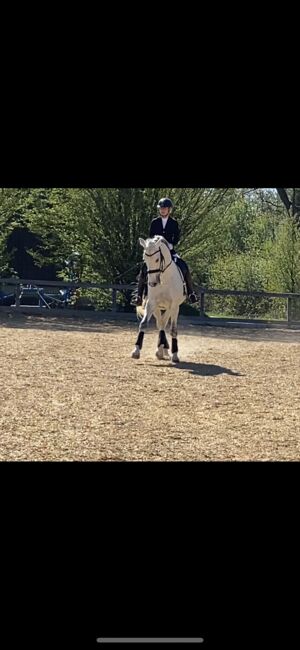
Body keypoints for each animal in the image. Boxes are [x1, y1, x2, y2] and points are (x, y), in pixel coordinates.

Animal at [131, 234, 186, 364]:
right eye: (145, 259)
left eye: (157, 259)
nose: (152, 283)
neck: (164, 278)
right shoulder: (151, 303)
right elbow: (143, 324)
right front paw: (136, 351)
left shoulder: (174, 306)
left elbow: (173, 329)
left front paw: (175, 355)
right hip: (157, 308)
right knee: (161, 324)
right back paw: (161, 350)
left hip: (170, 308)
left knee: (163, 323)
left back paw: (165, 351)